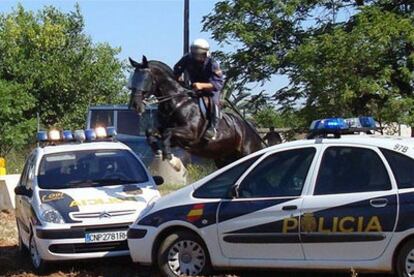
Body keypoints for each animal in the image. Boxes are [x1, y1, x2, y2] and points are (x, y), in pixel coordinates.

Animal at [128, 55, 262, 166]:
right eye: (133, 79)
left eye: (145, 79)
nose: (135, 104)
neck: (177, 103)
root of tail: (252, 130)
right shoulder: (168, 133)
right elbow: (151, 131)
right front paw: (158, 150)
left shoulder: (191, 134)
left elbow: (168, 132)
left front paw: (168, 155)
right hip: (223, 159)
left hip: (247, 153)